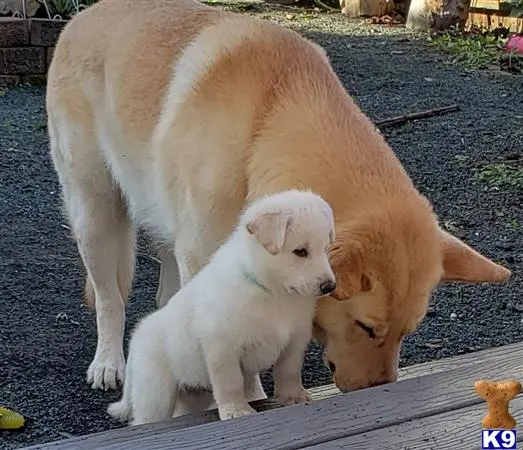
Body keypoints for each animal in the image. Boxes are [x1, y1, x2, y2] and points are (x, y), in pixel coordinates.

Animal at [47, 0, 510, 394]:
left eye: (406, 332)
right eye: (366, 327)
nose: (378, 390)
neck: (267, 118)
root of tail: (84, 15)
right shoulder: (207, 262)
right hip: (95, 217)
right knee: (110, 299)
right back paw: (109, 362)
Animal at [107, 190, 336, 426]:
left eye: (326, 248)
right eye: (300, 251)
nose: (329, 286)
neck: (273, 293)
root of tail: (136, 339)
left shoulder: (295, 340)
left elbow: (289, 371)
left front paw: (294, 397)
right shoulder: (222, 347)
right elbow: (230, 383)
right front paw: (236, 411)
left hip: (192, 396)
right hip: (156, 394)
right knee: (145, 418)